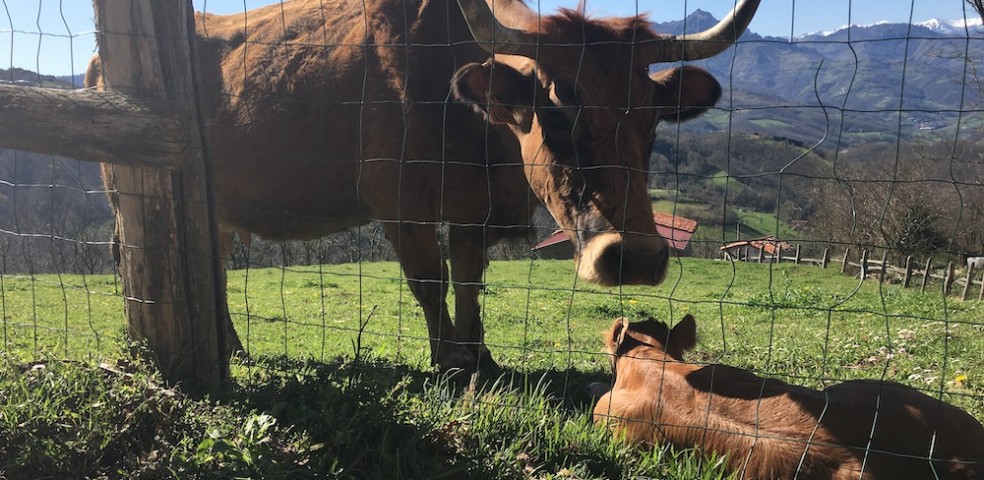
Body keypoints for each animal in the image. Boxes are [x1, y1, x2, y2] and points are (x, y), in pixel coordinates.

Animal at [86, 0, 760, 372]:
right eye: (558, 112)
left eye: (653, 118)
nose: (636, 256)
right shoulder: (399, 205)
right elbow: (429, 280)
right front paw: (449, 360)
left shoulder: (471, 211)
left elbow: (467, 280)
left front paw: (479, 354)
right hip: (132, 198)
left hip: (218, 208)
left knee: (216, 264)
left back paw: (232, 348)